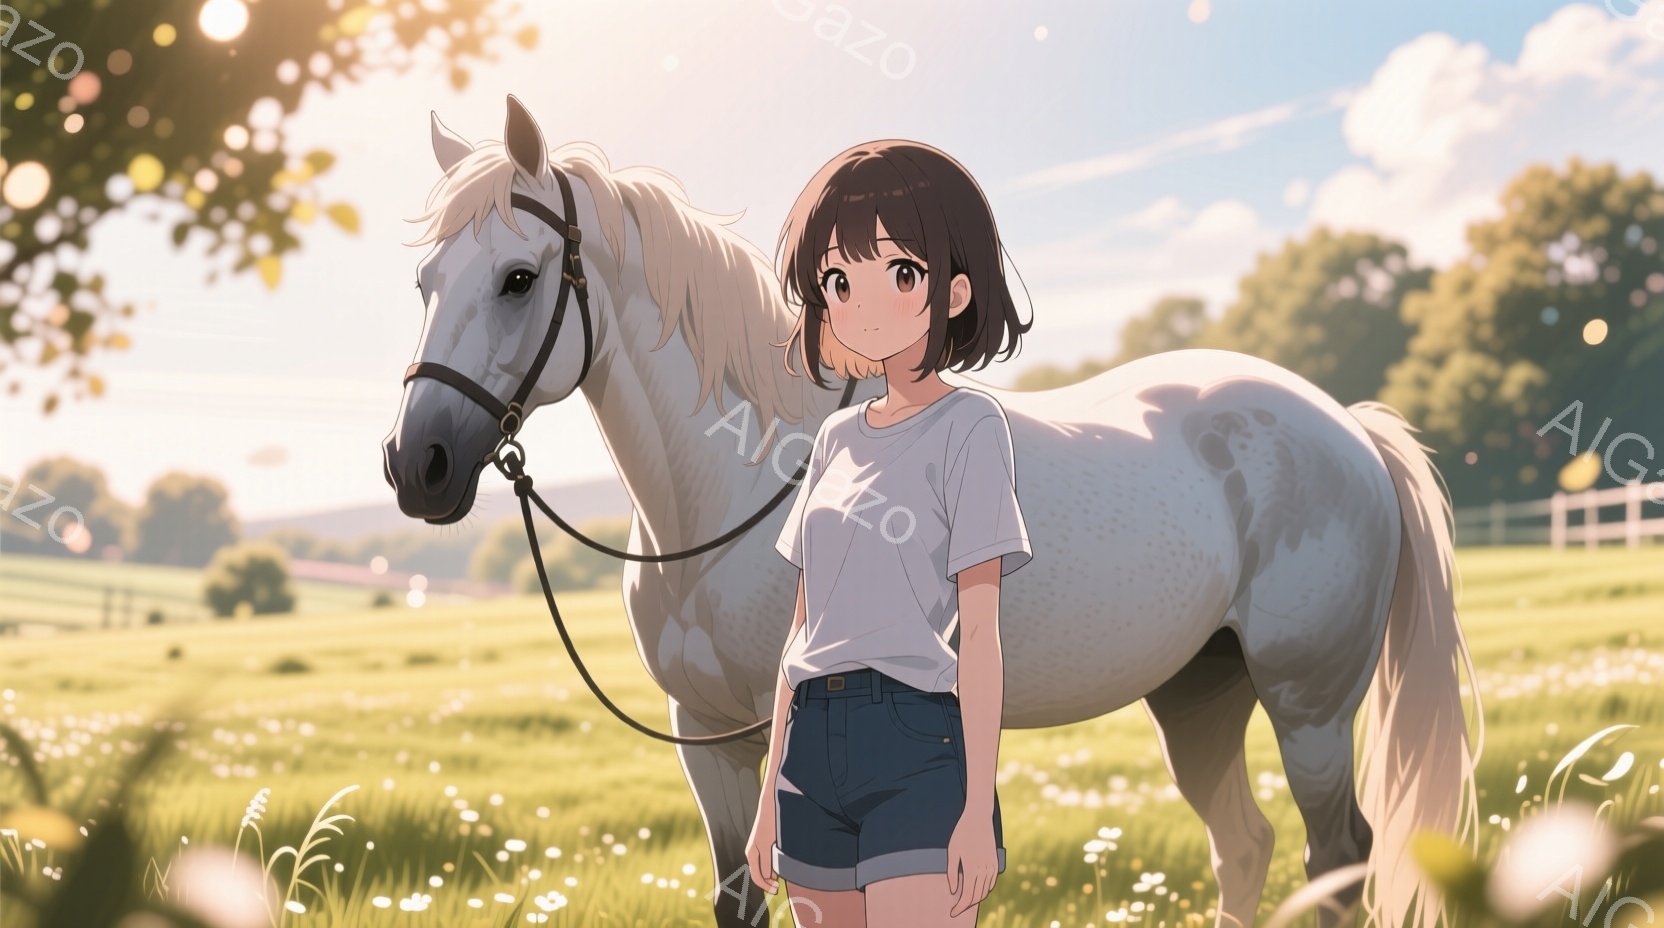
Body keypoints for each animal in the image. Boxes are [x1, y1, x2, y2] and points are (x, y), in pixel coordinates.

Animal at [382, 96, 1482, 928]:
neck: (738, 493)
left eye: (518, 278)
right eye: (425, 281)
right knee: (1243, 845)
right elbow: (738, 900)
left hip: (1308, 706)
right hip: (1199, 694)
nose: (415, 466)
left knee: (1334, 859)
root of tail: (1342, 425)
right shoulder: (713, 742)